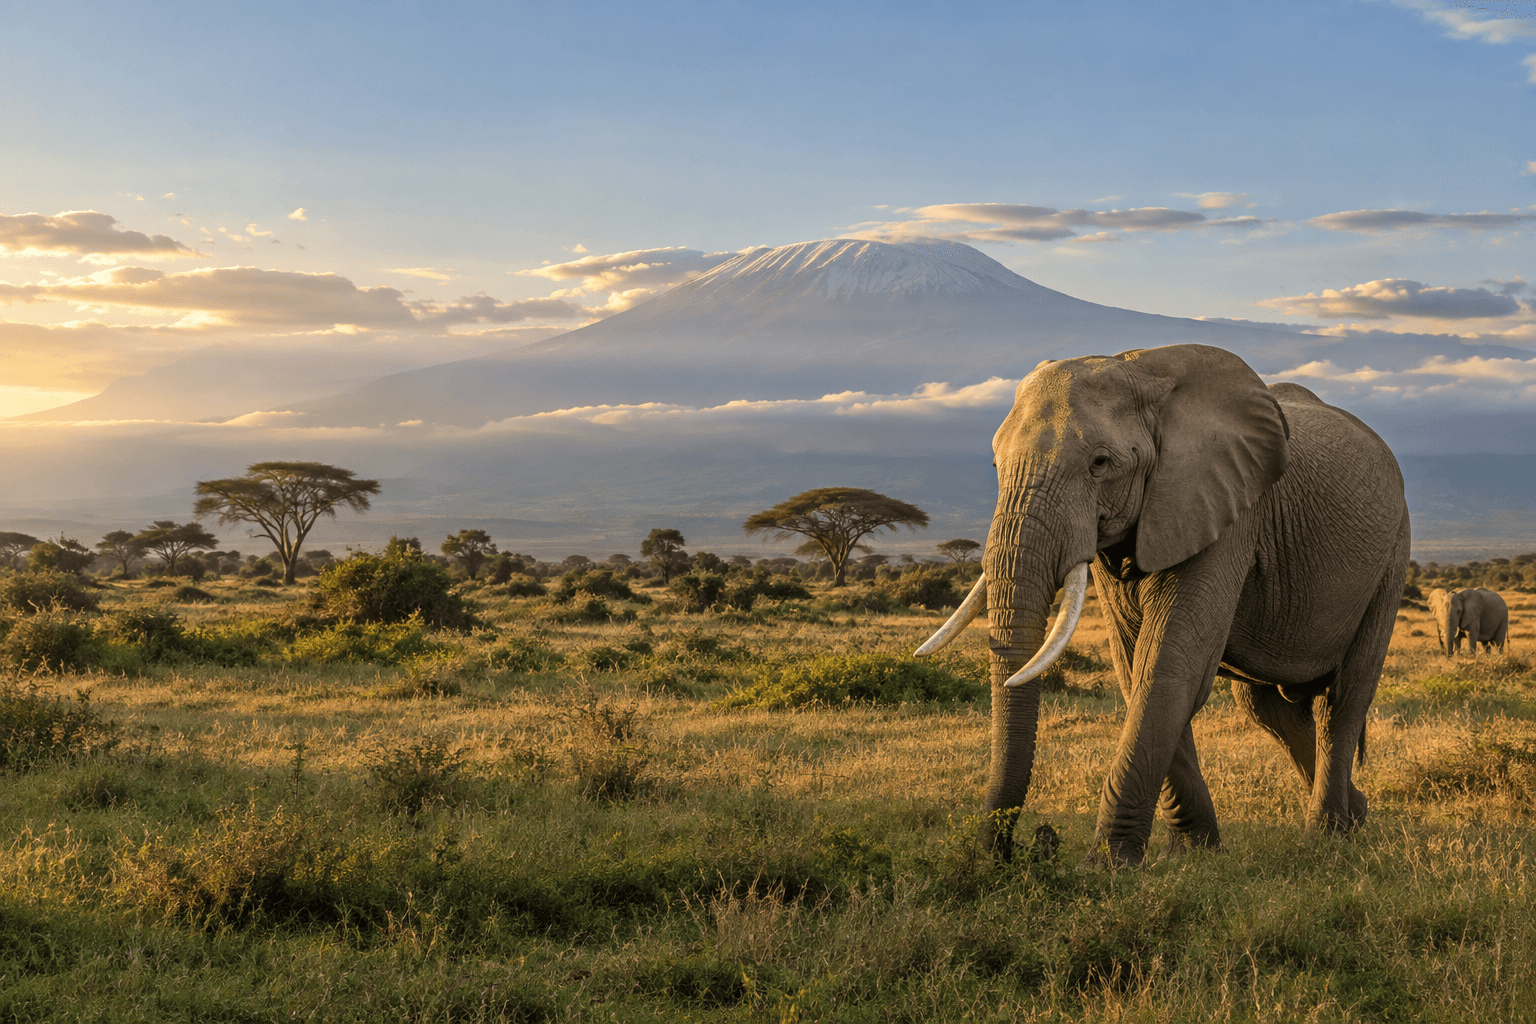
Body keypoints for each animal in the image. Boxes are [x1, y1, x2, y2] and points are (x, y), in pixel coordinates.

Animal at [917, 344, 1409, 865]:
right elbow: (1134, 664)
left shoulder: (1223, 509)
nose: (1024, 848)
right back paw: (1356, 814)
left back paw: (1327, 835)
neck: (1138, 370)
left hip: (1393, 554)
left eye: (1099, 463)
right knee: (1267, 709)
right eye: (995, 466)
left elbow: (1169, 664)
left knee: (1343, 701)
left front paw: (1107, 865)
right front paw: (1192, 851)